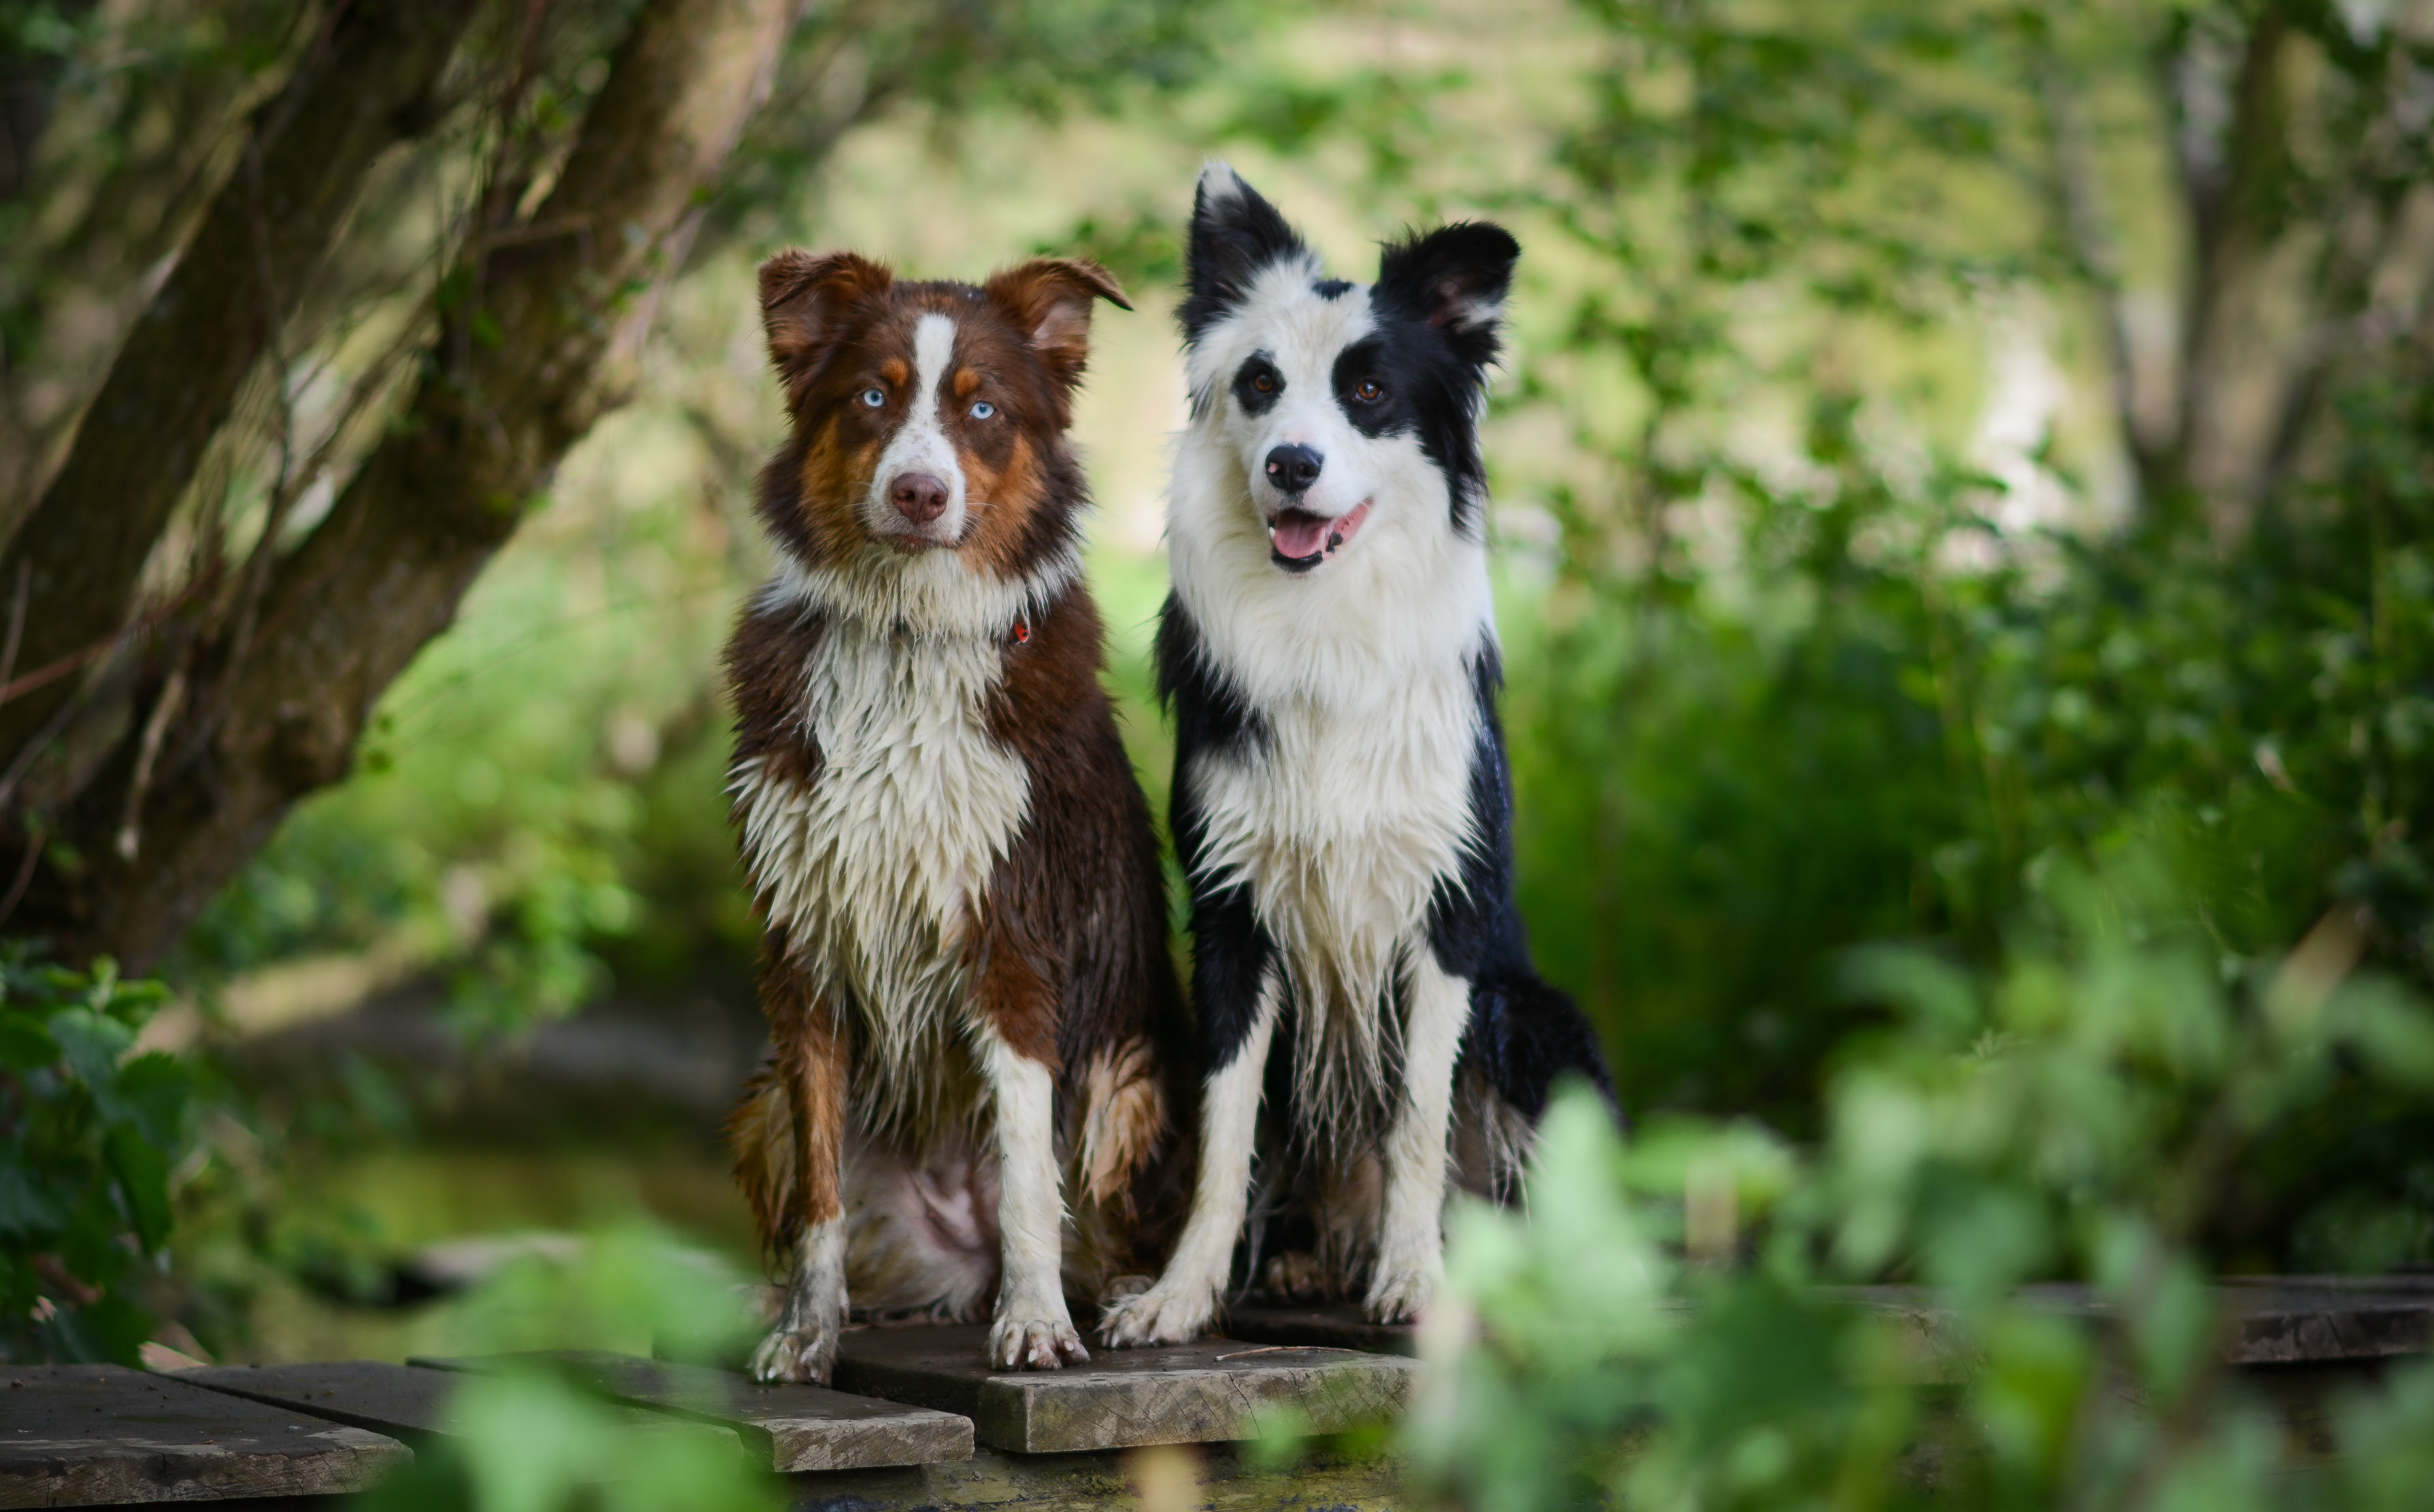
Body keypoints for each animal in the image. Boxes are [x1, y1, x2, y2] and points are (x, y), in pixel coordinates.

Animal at [720, 247, 1188, 1383]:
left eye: (982, 408)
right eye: (873, 397)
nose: (920, 492)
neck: (905, 637)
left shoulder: (1010, 939)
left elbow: (1024, 1169)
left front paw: (1036, 1323)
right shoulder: (804, 947)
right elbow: (822, 1195)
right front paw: (805, 1330)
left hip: (1132, 1079)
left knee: (1095, 1226)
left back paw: (1111, 1294)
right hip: (756, 1106)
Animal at [1100, 168, 1597, 1344]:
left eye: (1369, 391)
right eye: (1260, 384)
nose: (1293, 464)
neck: (1324, 619)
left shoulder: (1447, 918)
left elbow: (1418, 1117)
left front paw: (1415, 1279)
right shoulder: (1232, 917)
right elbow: (1225, 1134)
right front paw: (1183, 1294)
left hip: (1535, 1019)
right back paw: (1299, 1264)